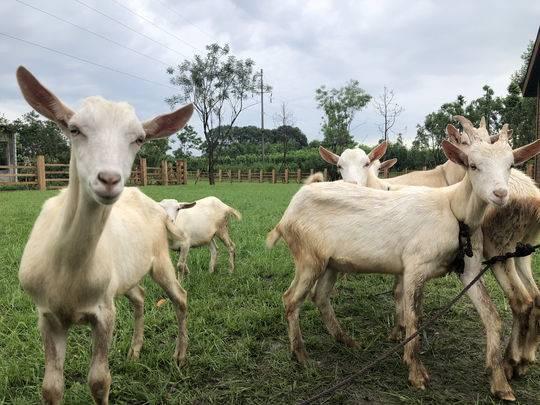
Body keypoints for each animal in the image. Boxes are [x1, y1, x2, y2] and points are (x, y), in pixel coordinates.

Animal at [15, 66, 195, 404]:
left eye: (139, 139)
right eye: (74, 129)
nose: (109, 179)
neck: (68, 270)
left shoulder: (104, 310)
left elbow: (99, 381)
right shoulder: (46, 315)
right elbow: (50, 387)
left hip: (160, 258)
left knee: (179, 297)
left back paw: (180, 356)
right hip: (126, 276)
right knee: (140, 297)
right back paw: (135, 351)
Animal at [266, 128, 540, 400]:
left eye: (510, 164)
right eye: (473, 165)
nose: (500, 194)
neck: (453, 210)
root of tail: (288, 212)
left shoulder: (469, 269)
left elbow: (491, 317)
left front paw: (500, 382)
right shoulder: (414, 267)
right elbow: (413, 318)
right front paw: (416, 373)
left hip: (330, 262)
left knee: (320, 296)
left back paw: (345, 340)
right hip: (308, 258)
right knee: (291, 299)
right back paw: (301, 355)